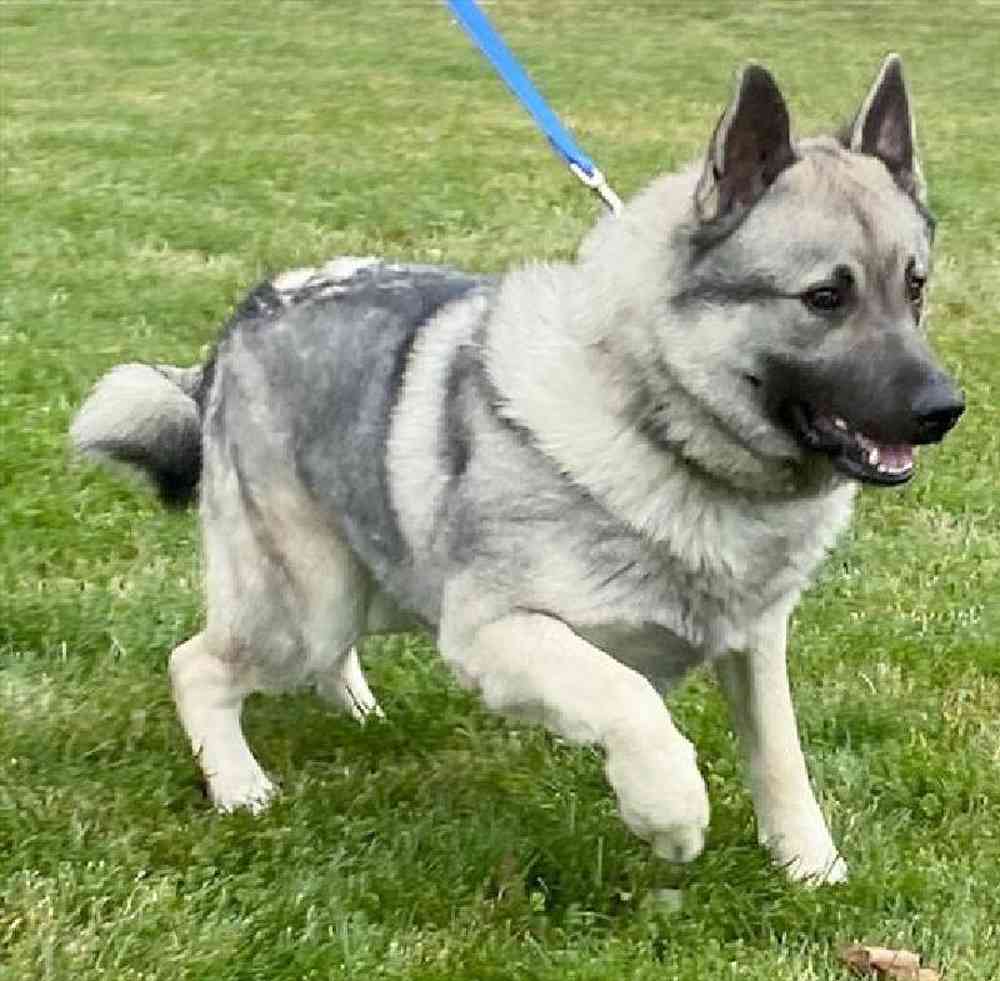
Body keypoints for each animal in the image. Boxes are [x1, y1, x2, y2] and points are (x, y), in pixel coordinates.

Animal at [70, 55, 960, 880]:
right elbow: (631, 700)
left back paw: (357, 710)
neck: (655, 422)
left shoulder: (754, 644)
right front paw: (669, 812)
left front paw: (811, 867)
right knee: (199, 664)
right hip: (309, 602)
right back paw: (239, 786)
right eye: (825, 298)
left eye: (914, 288)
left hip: (374, 581)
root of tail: (240, 321)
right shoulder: (494, 633)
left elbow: (780, 755)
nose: (944, 408)